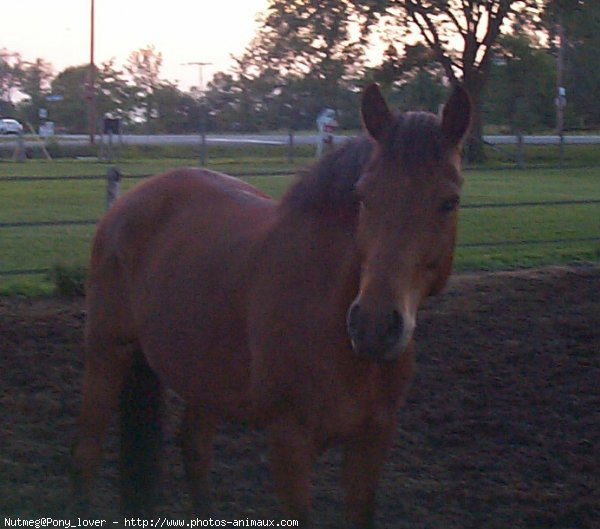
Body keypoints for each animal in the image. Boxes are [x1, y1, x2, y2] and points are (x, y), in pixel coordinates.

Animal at [72, 84, 472, 524]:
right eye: (364, 196)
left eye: (449, 202)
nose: (373, 326)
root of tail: (127, 203)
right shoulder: (288, 444)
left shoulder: (372, 442)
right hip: (107, 354)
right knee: (86, 455)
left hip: (205, 377)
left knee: (194, 449)